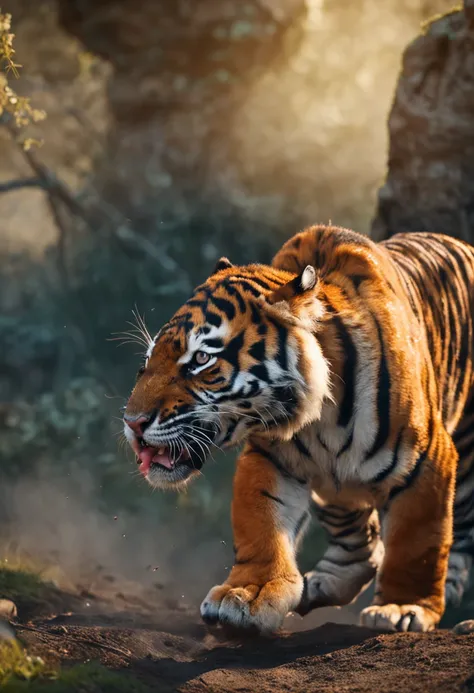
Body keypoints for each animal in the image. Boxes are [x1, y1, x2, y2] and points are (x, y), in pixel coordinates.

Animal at [123, 226, 474, 632]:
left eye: (201, 359)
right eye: (148, 361)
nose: (132, 423)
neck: (320, 419)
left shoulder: (427, 458)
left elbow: (416, 543)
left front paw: (403, 607)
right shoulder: (270, 455)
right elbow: (259, 523)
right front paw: (247, 593)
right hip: (337, 490)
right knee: (361, 542)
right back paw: (319, 584)